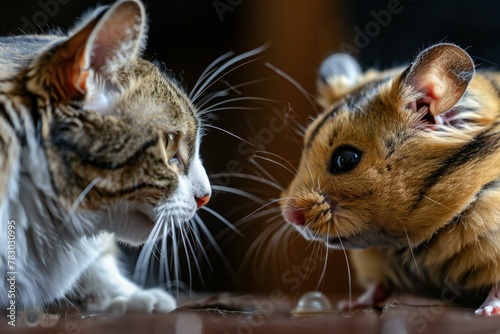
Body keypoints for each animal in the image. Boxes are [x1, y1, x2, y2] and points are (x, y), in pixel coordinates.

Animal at [282, 43, 500, 316]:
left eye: (346, 159)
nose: (290, 218)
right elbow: (378, 285)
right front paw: (349, 304)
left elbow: (497, 287)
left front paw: (486, 311)